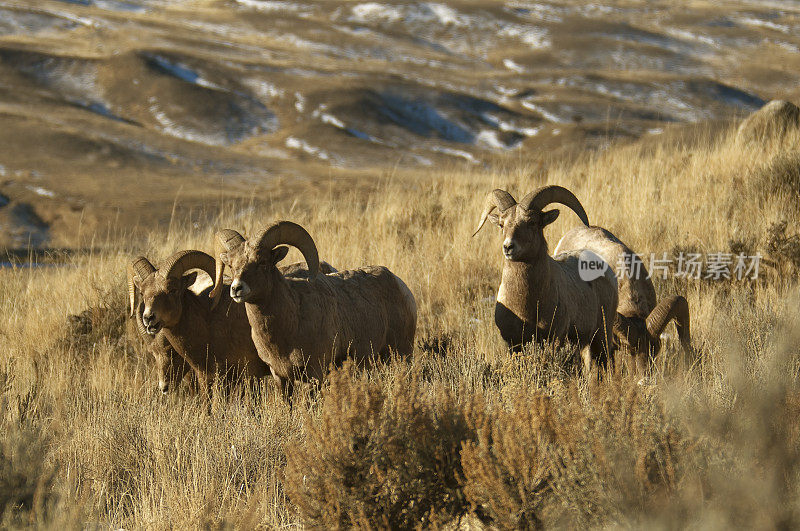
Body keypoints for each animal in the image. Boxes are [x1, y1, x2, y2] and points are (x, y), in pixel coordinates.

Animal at [209, 220, 416, 400]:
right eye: (231, 265)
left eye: (263, 262)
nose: (236, 288)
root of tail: (401, 286)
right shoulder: (280, 377)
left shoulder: (314, 374)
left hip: (401, 355)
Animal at [476, 187, 620, 374]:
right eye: (501, 224)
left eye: (532, 222)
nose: (508, 247)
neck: (527, 306)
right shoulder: (513, 344)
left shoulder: (553, 339)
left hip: (601, 335)